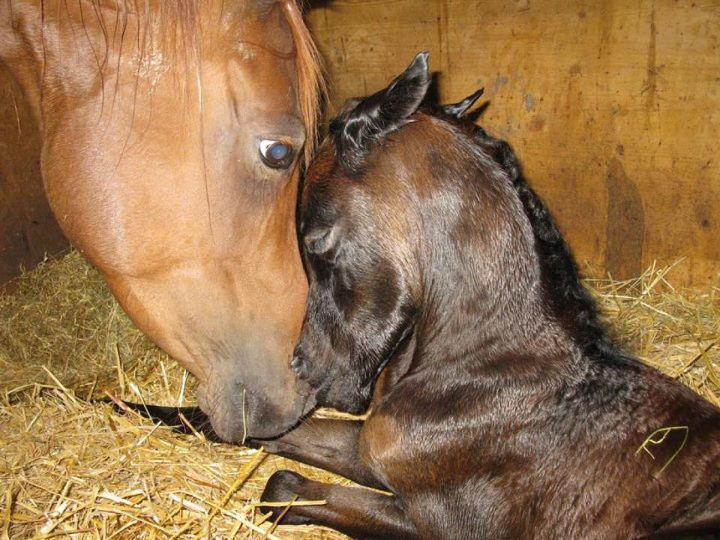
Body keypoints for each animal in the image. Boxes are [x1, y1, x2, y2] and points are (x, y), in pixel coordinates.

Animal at [258, 51, 720, 536]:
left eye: (313, 240)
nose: (302, 365)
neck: (487, 366)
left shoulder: (443, 525)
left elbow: (283, 486)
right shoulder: (371, 448)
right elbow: (285, 436)